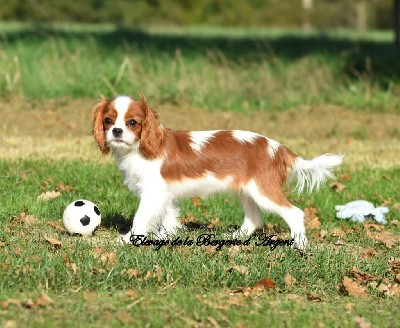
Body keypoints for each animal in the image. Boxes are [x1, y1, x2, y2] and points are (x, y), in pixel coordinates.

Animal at [92, 94, 342, 249]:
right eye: (108, 120)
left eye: (132, 123)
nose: (116, 131)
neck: (140, 148)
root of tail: (280, 149)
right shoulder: (164, 195)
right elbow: (168, 217)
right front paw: (165, 237)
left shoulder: (153, 193)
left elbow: (141, 218)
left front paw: (129, 239)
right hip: (246, 192)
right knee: (254, 219)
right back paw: (235, 238)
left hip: (263, 191)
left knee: (295, 213)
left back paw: (299, 244)